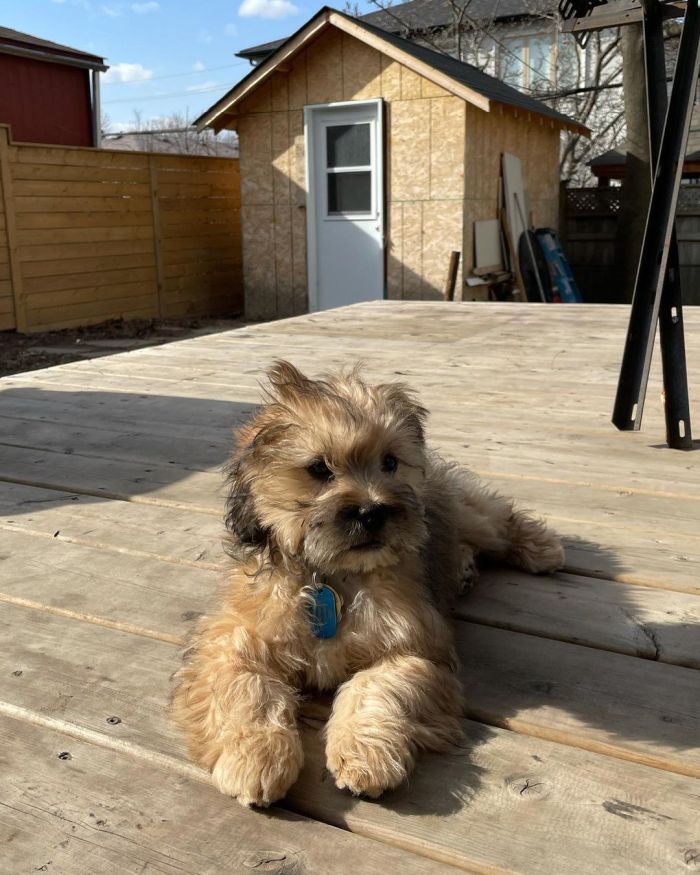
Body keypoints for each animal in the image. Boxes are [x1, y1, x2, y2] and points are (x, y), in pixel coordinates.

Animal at [172, 362, 568, 808]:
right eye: (319, 469)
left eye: (390, 462)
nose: (371, 512)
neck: (333, 576)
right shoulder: (230, 640)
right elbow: (247, 686)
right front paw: (255, 757)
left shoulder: (414, 647)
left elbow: (377, 686)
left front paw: (365, 755)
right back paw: (466, 568)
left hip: (471, 516)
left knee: (501, 519)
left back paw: (541, 548)